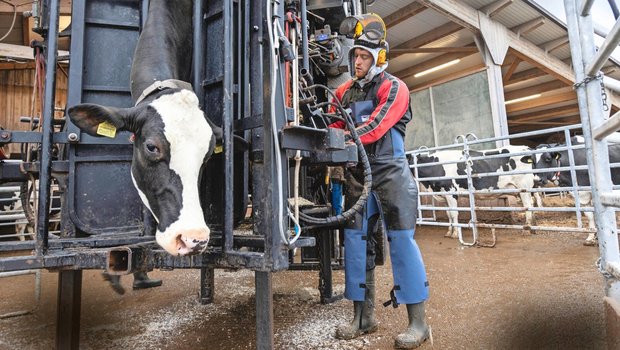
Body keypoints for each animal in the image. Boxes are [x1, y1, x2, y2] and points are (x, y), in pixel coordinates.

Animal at [412, 146, 544, 239]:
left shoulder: (451, 193)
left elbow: (454, 214)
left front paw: (455, 234)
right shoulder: (444, 195)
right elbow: (449, 214)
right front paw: (449, 232)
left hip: (524, 188)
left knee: (527, 206)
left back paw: (526, 230)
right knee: (531, 205)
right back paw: (533, 228)